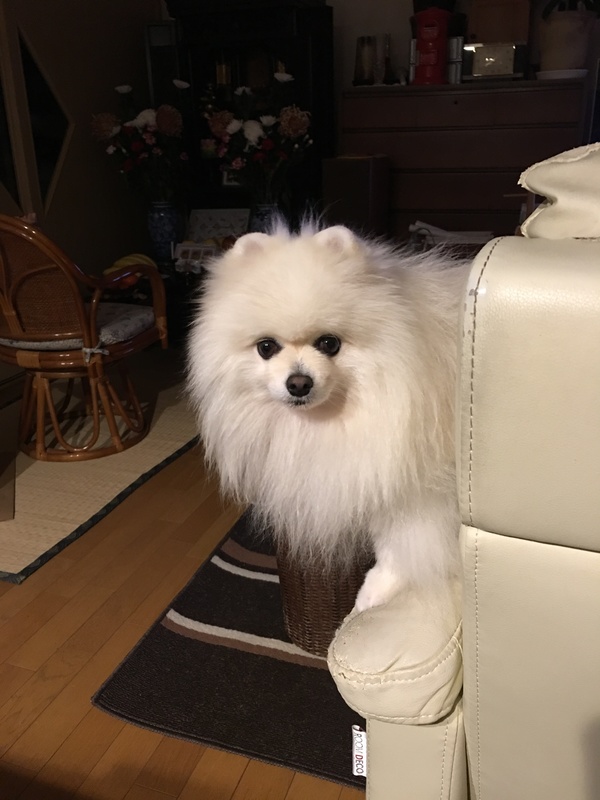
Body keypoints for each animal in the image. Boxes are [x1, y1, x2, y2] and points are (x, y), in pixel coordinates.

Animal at [186, 219, 469, 612]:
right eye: (266, 347)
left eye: (329, 343)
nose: (299, 383)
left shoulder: (417, 486)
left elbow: (400, 543)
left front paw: (375, 592)